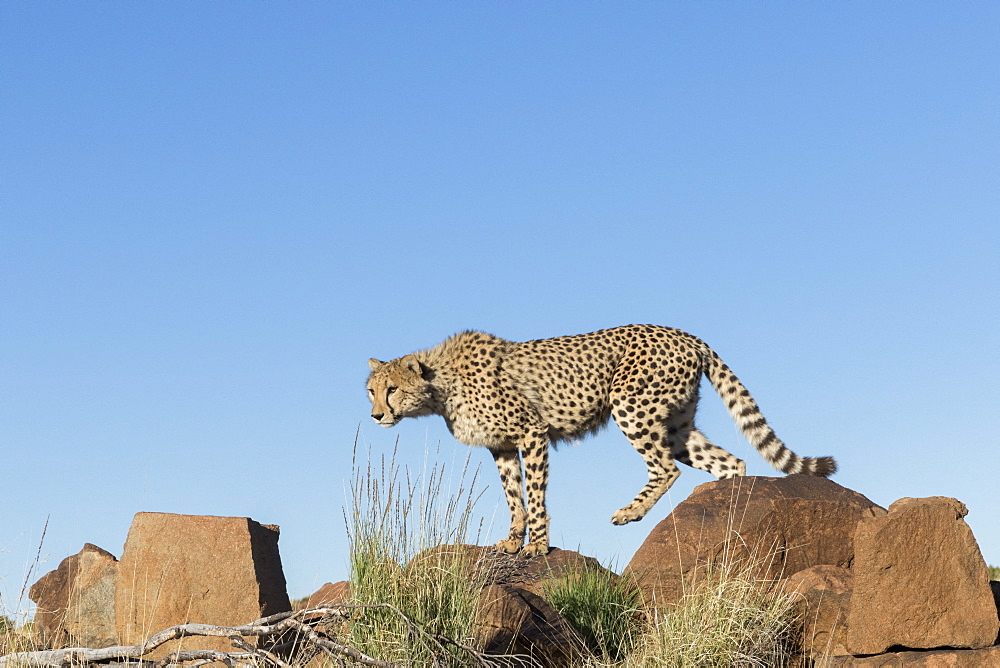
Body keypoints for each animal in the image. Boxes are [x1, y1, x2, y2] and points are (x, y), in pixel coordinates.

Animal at [368, 326, 836, 556]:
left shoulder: (531, 432)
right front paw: (512, 540)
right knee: (728, 461)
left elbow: (534, 495)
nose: (375, 416)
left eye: (391, 389)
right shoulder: (501, 446)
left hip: (629, 404)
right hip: (676, 425)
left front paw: (537, 546)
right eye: (371, 390)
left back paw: (630, 512)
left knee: (665, 468)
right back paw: (729, 510)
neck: (440, 386)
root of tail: (684, 332)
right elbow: (513, 496)